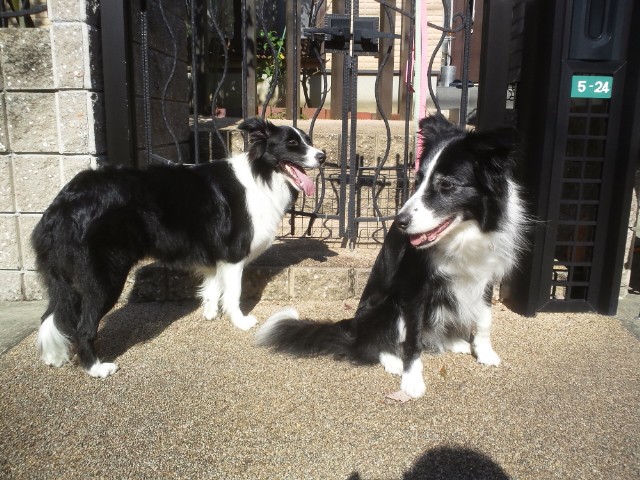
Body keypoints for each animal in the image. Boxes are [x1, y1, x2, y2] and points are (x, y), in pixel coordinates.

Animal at [33, 117, 325, 378]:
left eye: (308, 141)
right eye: (291, 143)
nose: (322, 156)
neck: (261, 173)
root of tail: (61, 205)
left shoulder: (216, 256)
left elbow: (213, 287)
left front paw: (210, 313)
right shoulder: (233, 256)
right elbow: (233, 293)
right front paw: (240, 321)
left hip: (65, 279)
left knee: (50, 315)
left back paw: (54, 357)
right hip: (103, 278)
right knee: (83, 327)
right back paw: (96, 368)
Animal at [256, 114, 526, 398]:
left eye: (446, 184)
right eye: (418, 180)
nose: (400, 222)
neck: (463, 233)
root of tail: (354, 327)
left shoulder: (484, 273)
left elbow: (485, 318)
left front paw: (485, 353)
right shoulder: (414, 287)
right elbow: (413, 339)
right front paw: (412, 381)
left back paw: (455, 342)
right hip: (388, 306)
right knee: (374, 345)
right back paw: (394, 361)